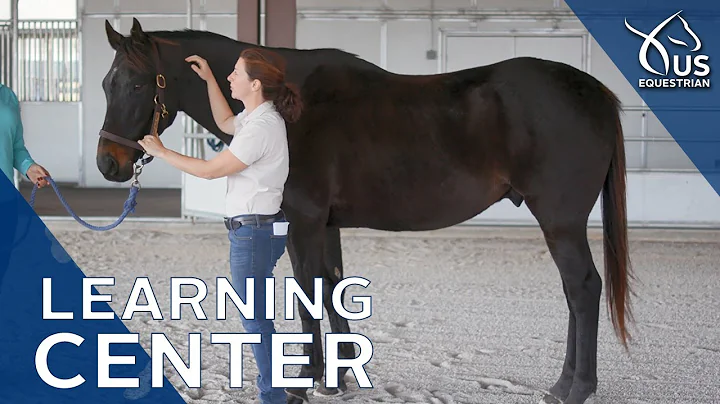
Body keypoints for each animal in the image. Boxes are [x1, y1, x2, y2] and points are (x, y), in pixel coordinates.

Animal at [96, 18, 633, 404]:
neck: (290, 105)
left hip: (560, 221)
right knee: (574, 292)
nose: (108, 163)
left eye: (139, 84)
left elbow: (308, 290)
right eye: (106, 83)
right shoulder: (328, 224)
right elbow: (333, 286)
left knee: (582, 289)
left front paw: (309, 379)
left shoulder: (305, 220)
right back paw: (563, 384)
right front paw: (343, 371)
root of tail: (594, 92)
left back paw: (575, 388)